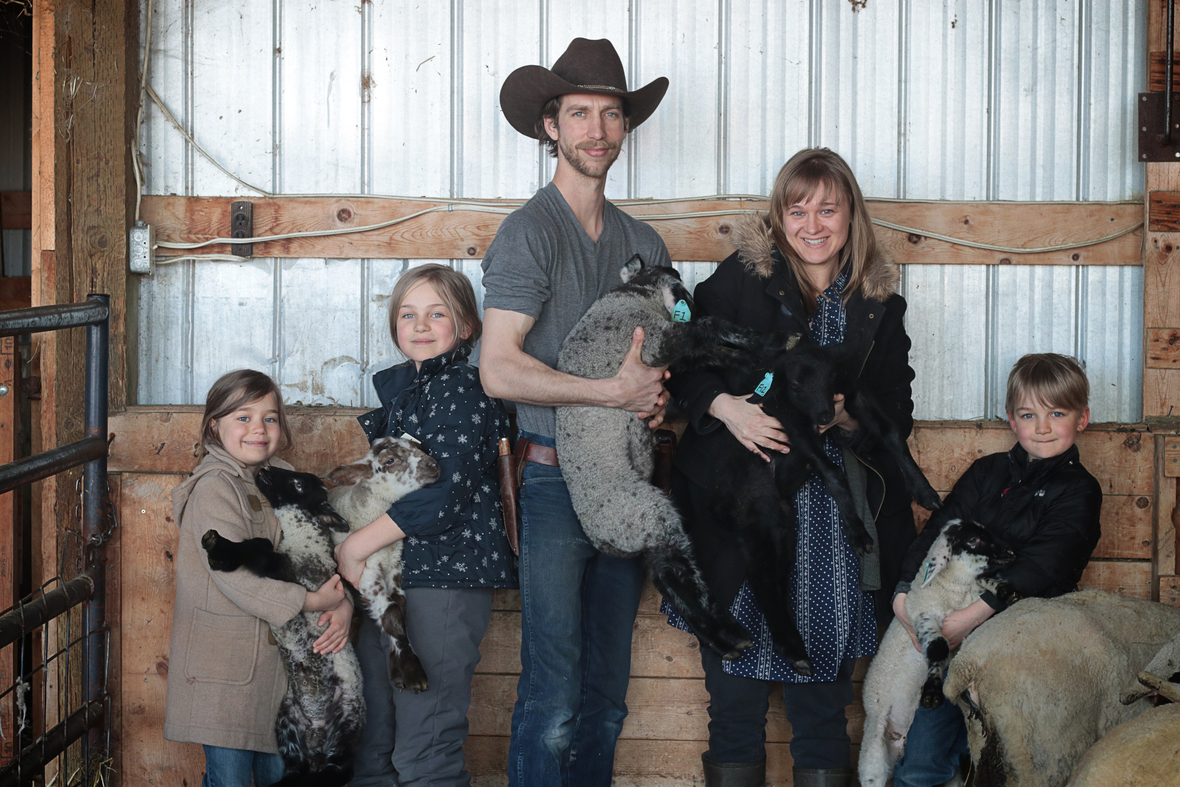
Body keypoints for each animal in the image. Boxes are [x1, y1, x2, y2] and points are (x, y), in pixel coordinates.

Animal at [859, 519, 1014, 787]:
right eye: (973, 540)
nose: (1010, 552)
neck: (954, 590)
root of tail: (900, 743)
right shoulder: (924, 617)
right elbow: (938, 647)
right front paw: (931, 692)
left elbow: (986, 581)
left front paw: (1005, 590)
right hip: (872, 755)